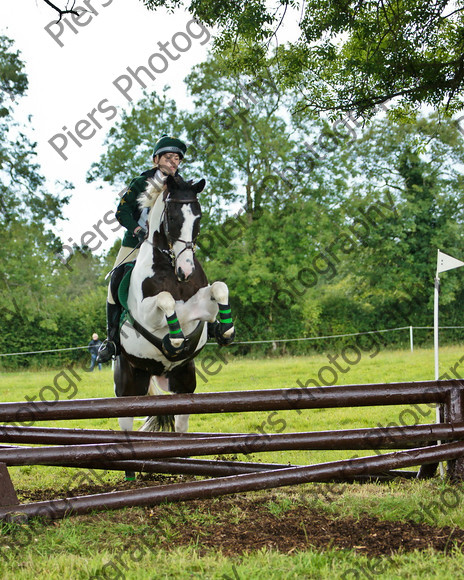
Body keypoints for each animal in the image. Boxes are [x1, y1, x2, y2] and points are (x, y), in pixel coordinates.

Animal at [113, 172, 236, 462]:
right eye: (172, 217)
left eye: (198, 217)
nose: (186, 270)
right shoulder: (148, 313)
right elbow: (166, 300)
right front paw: (175, 340)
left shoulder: (201, 306)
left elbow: (219, 288)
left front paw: (225, 330)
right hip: (128, 387)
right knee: (127, 429)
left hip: (183, 384)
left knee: (180, 426)